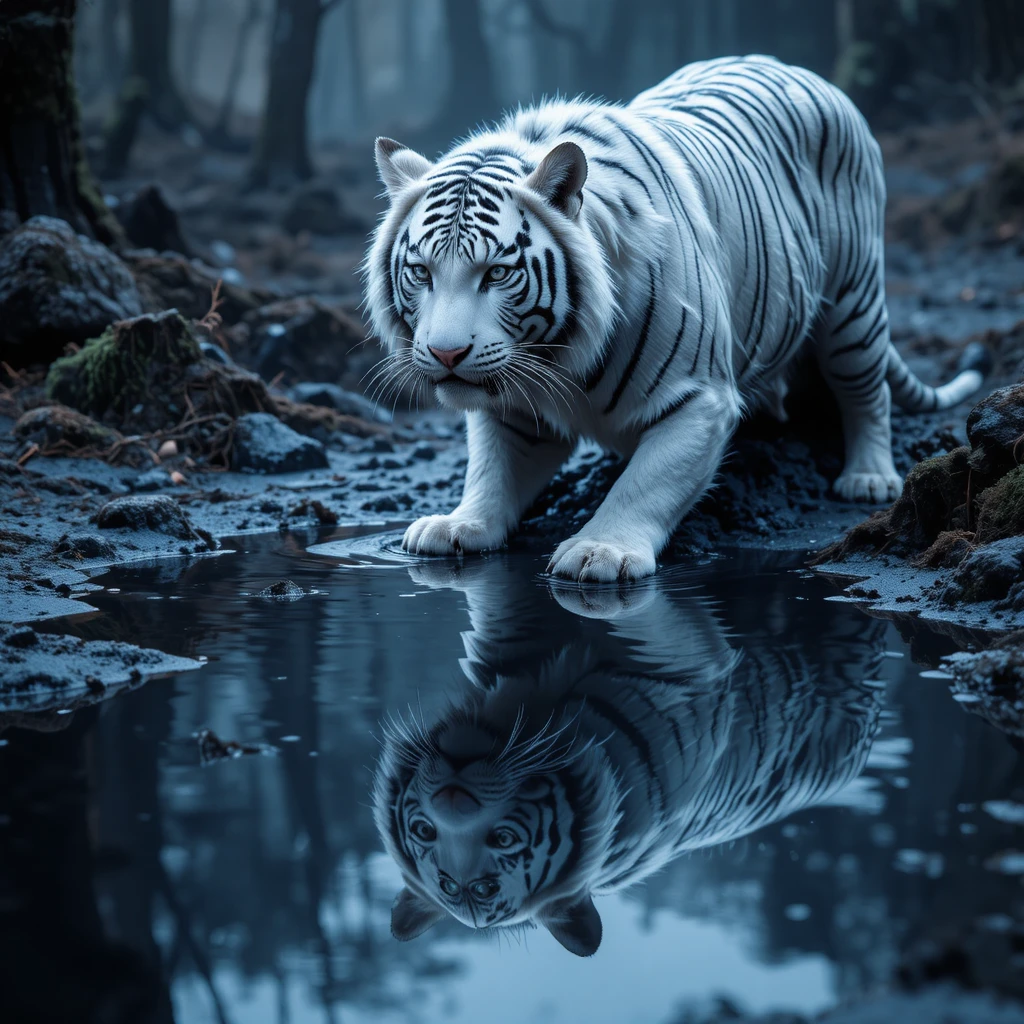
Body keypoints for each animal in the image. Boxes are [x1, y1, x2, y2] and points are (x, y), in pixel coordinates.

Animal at [365, 55, 990, 584]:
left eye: (495, 273)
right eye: (421, 272)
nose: (446, 354)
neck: (561, 355)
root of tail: (801, 70)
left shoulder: (699, 398)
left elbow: (646, 483)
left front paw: (600, 550)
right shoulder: (514, 405)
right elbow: (491, 469)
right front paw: (459, 524)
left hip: (852, 301)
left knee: (866, 389)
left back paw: (868, 476)